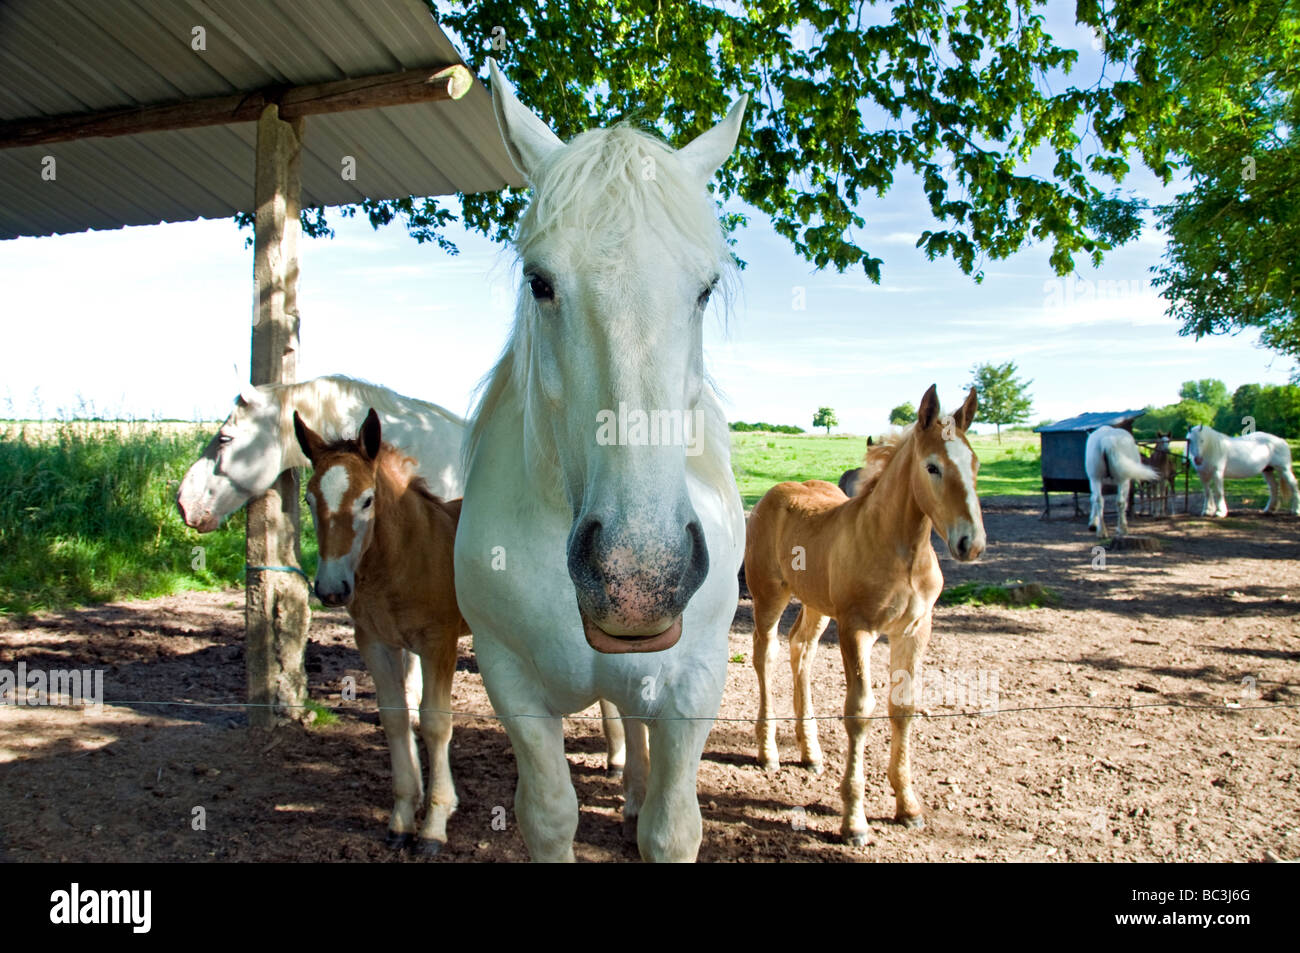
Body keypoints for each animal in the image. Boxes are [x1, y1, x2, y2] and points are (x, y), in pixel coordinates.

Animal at [294, 408, 468, 854]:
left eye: (366, 500)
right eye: (309, 500)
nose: (332, 588)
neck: (404, 556)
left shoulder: (438, 643)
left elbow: (435, 723)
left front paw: (434, 824)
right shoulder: (375, 643)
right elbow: (394, 719)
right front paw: (402, 819)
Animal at [452, 59, 747, 862]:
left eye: (705, 288)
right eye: (540, 281)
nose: (637, 578)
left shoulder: (696, 683)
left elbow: (672, 827)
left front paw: (649, 806)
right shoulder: (509, 681)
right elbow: (550, 813)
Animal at [744, 385, 986, 844]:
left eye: (975, 464)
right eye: (932, 467)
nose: (971, 544)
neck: (901, 551)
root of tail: (774, 492)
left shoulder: (914, 630)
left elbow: (903, 706)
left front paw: (908, 807)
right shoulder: (857, 629)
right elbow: (859, 711)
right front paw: (854, 821)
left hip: (817, 605)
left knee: (801, 649)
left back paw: (810, 752)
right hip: (769, 595)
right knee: (765, 656)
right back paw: (769, 752)